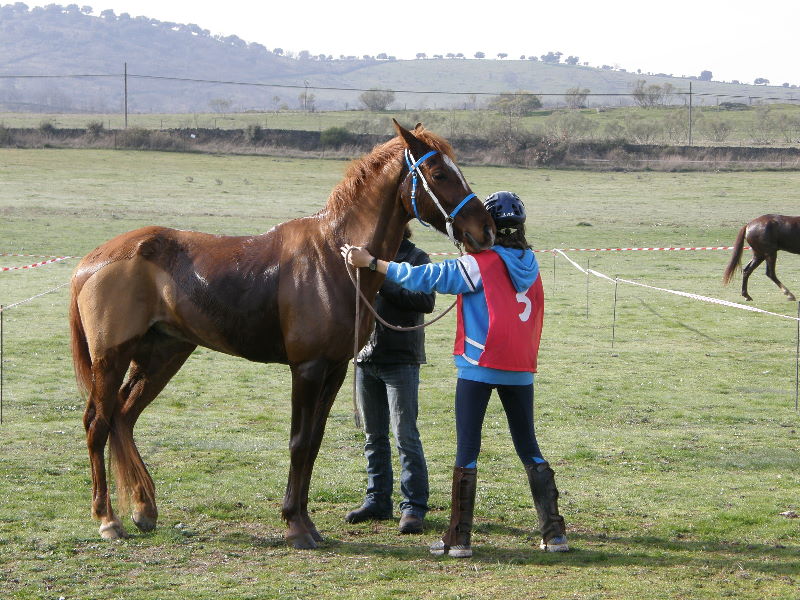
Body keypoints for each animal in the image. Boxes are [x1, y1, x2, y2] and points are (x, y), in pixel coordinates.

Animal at [70, 120, 494, 548]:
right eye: (439, 174)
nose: (486, 229)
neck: (334, 256)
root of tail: (93, 260)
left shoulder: (335, 369)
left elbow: (313, 443)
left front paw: (305, 521)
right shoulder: (307, 368)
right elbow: (298, 442)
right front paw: (295, 525)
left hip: (162, 355)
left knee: (124, 417)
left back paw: (143, 509)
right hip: (111, 359)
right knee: (98, 423)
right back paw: (107, 519)